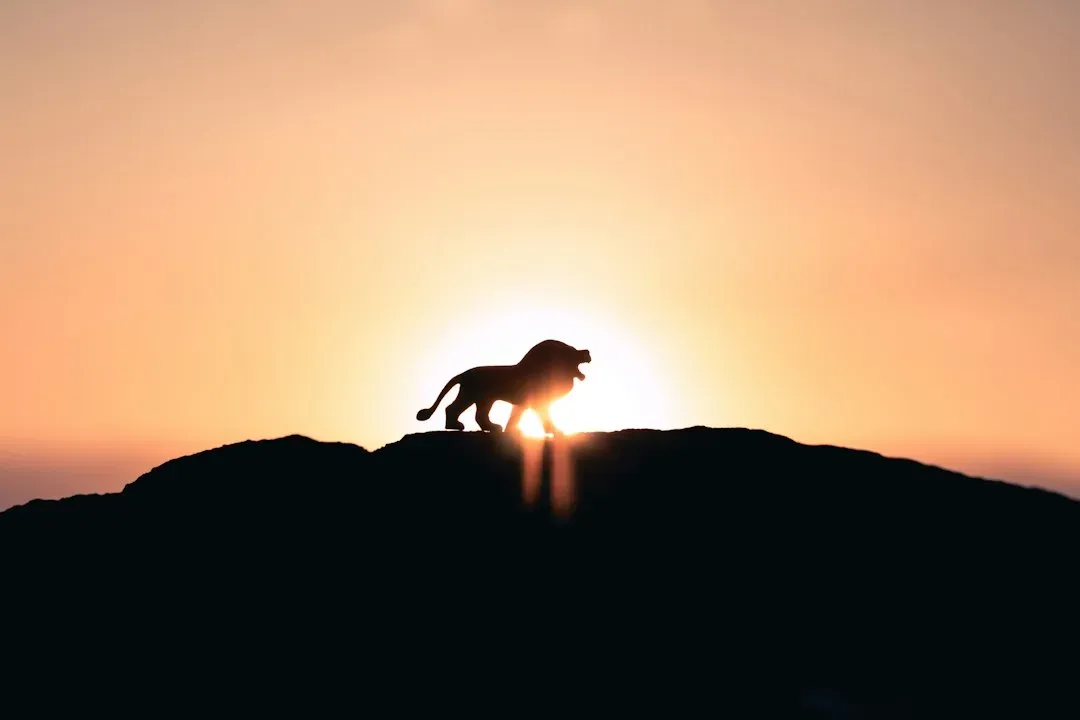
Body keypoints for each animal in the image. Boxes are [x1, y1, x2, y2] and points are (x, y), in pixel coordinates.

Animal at [415, 339, 592, 434]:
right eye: (572, 350)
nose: (588, 352)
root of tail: (463, 374)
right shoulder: (537, 402)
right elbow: (545, 417)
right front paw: (555, 431)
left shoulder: (523, 403)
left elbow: (515, 416)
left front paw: (511, 431)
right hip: (470, 394)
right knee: (452, 408)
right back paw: (455, 426)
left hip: (485, 399)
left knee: (480, 415)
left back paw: (493, 428)